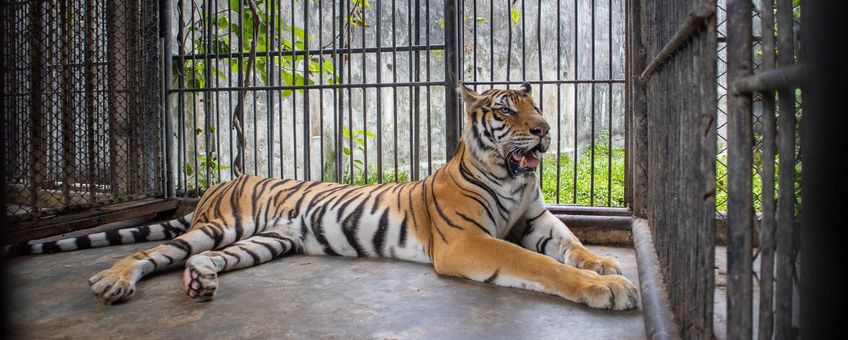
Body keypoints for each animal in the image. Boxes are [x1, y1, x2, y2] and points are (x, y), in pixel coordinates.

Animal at [23, 83, 636, 310]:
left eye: (535, 106)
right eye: (506, 110)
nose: (545, 130)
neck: (511, 177)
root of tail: (219, 182)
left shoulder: (538, 219)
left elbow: (571, 245)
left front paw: (604, 263)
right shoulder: (467, 243)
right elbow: (540, 265)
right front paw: (607, 288)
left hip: (266, 241)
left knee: (206, 259)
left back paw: (201, 281)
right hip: (219, 225)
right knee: (150, 253)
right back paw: (114, 281)